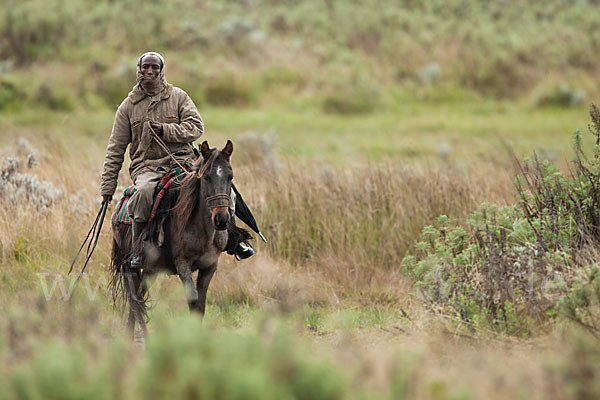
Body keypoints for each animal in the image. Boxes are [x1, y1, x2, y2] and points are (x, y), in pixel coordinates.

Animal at [109, 139, 236, 336]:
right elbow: (193, 298)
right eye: (206, 177)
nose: (222, 219)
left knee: (138, 299)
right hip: (129, 266)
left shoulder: (210, 265)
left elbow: (201, 305)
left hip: (151, 270)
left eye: (230, 177)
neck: (203, 232)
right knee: (136, 301)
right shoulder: (182, 263)